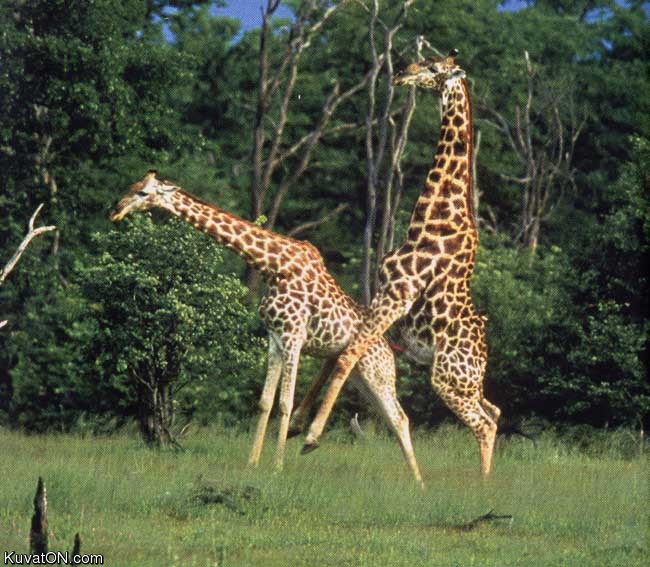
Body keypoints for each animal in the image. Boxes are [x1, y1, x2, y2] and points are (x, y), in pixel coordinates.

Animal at [110, 171, 423, 483]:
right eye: (132, 186)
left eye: (143, 193)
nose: (115, 210)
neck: (272, 267)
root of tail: (388, 349)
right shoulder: (275, 338)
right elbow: (265, 402)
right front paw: (253, 463)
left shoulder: (294, 336)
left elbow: (284, 403)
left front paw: (277, 466)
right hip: (361, 378)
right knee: (396, 418)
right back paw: (415, 481)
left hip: (376, 372)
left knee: (400, 417)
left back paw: (416, 481)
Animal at [302, 50, 501, 477]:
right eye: (426, 59)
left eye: (434, 68)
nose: (403, 73)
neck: (430, 222)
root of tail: (482, 355)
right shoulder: (380, 295)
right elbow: (341, 353)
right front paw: (294, 422)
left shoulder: (396, 295)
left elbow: (347, 355)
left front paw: (310, 436)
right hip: (466, 382)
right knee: (493, 412)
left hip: (447, 378)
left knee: (483, 423)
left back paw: (482, 485)